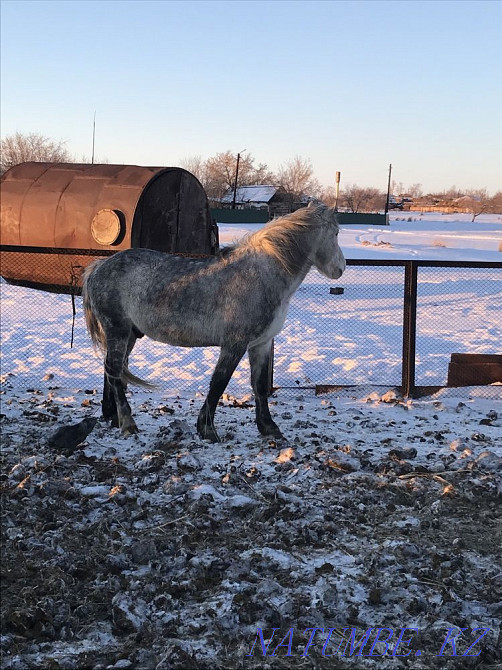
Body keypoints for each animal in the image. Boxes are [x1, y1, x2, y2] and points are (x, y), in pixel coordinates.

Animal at [82, 202, 345, 442]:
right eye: (335, 233)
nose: (341, 269)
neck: (261, 275)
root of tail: (98, 267)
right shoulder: (234, 345)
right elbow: (218, 384)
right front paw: (207, 429)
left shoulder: (261, 344)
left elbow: (259, 386)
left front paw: (269, 427)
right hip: (117, 330)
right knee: (115, 372)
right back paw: (128, 423)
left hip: (130, 335)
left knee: (113, 372)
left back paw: (114, 417)